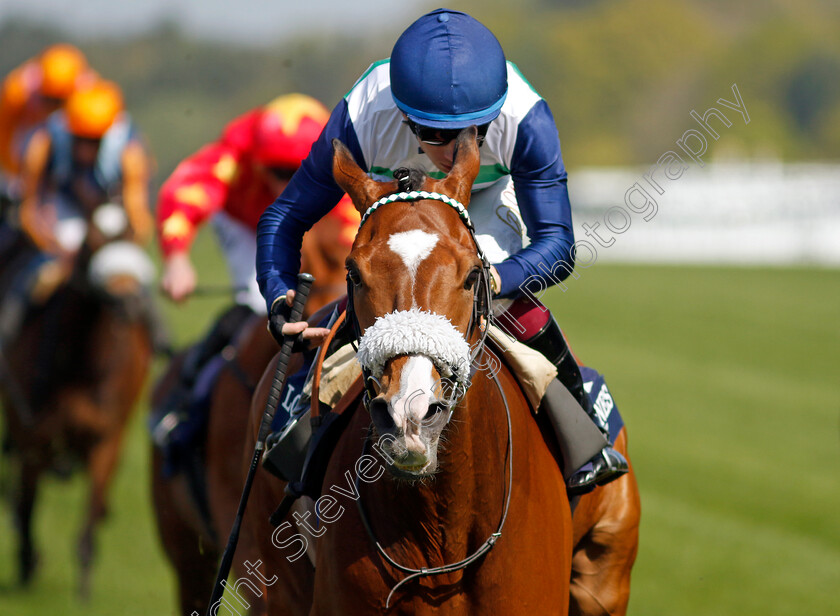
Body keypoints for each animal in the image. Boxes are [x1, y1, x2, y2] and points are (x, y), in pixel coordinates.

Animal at [0, 207, 155, 596]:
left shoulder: (107, 437)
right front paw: (28, 563)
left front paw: (84, 582)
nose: (128, 302)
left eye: (132, 237)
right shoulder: (33, 435)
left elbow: (90, 509)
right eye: (90, 245)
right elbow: (26, 504)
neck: (82, 364)